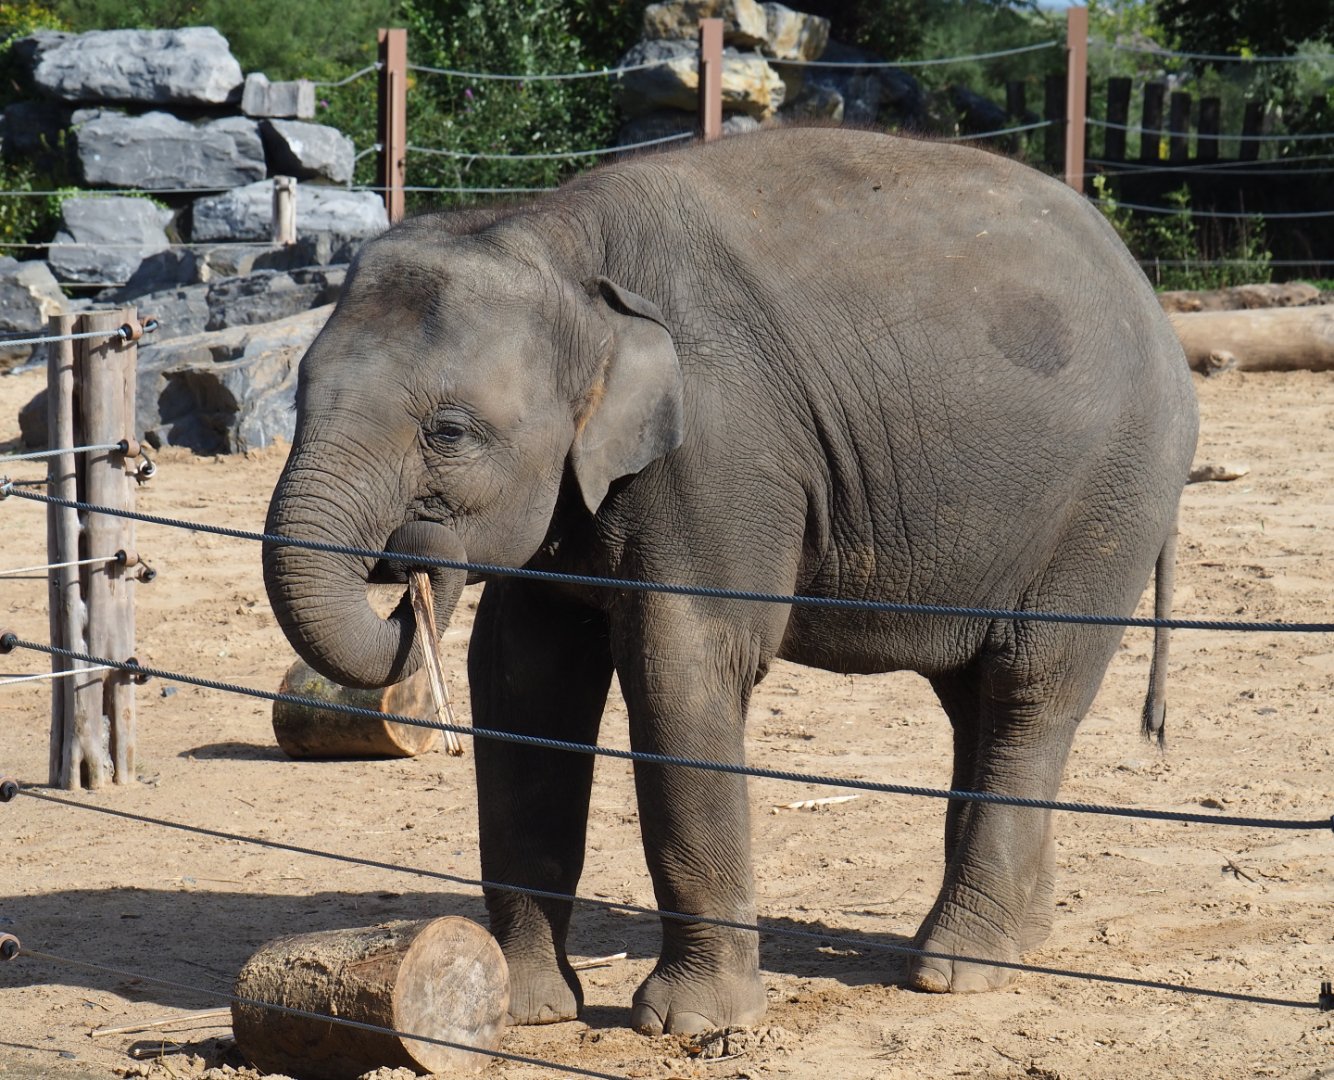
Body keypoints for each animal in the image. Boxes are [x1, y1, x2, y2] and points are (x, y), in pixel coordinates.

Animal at [263, 126, 1199, 1036]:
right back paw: (1019, 941)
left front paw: (692, 1027)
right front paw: (521, 1011)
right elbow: (523, 679)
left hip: (1109, 499)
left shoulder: (721, 453)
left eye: (449, 432)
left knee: (1030, 684)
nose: (411, 557)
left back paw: (955, 970)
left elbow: (679, 667)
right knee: (974, 697)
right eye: (297, 397)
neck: (560, 239)